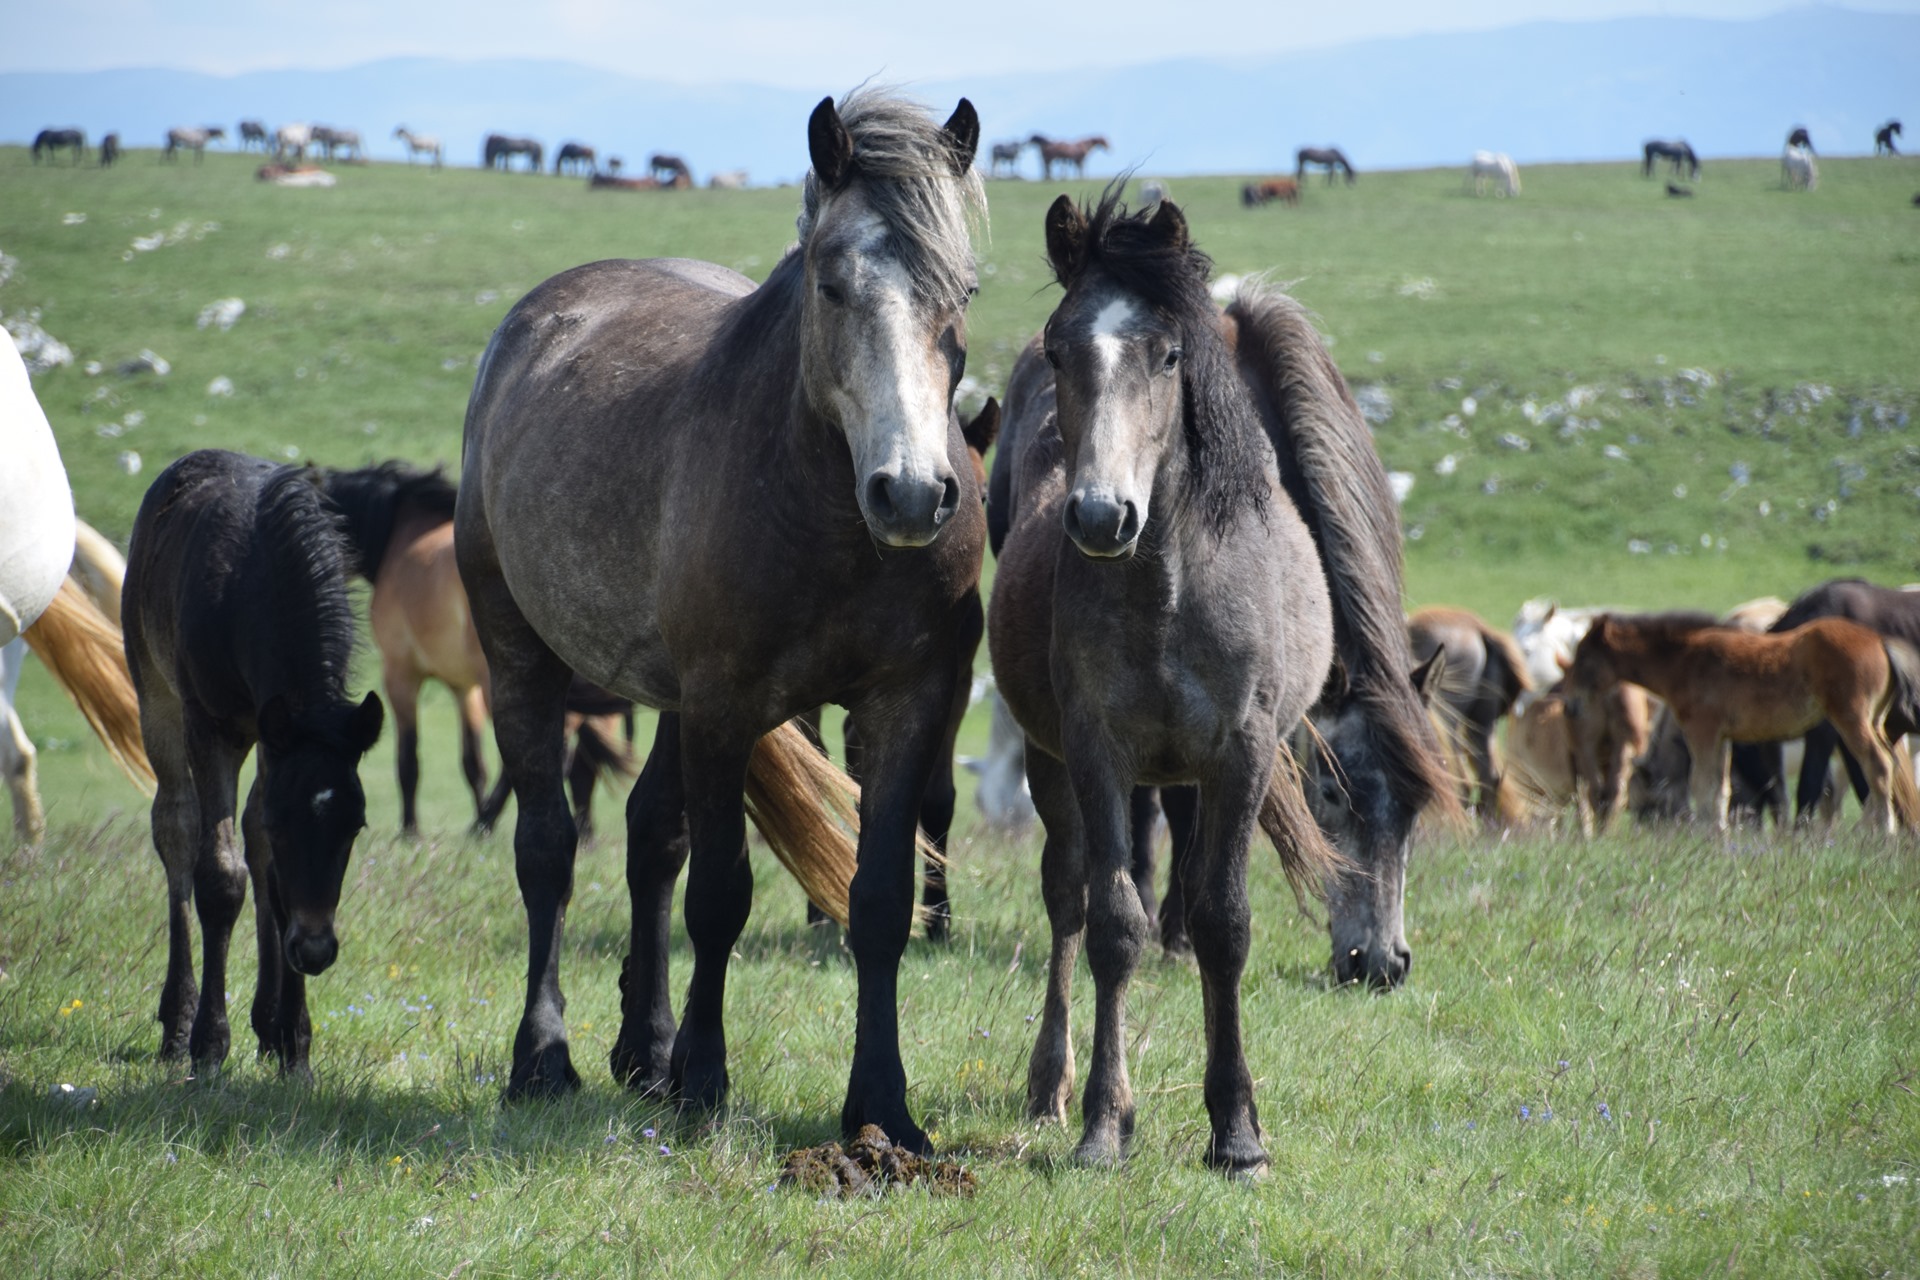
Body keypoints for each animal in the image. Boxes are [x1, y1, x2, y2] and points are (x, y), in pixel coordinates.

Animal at [123, 451, 386, 1073]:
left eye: (355, 827)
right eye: (288, 824)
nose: (314, 949)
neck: (256, 585)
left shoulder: (276, 737)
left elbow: (267, 864)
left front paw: (294, 1043)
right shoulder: (210, 727)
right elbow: (221, 875)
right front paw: (208, 1044)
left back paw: (267, 1027)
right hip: (154, 690)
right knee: (175, 827)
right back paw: (177, 1023)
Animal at [457, 89, 985, 1148]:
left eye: (964, 291)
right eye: (832, 285)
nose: (912, 494)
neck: (827, 518)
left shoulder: (907, 703)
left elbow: (877, 900)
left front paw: (882, 1107)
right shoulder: (725, 704)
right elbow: (720, 896)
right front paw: (705, 1082)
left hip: (669, 701)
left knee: (649, 837)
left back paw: (644, 1052)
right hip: (522, 658)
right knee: (548, 852)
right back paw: (545, 1059)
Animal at [991, 190, 1451, 1172]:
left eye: (1168, 354)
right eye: (1061, 348)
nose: (1380, 965)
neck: (1169, 584)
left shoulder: (1241, 753)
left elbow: (1224, 923)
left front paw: (1237, 1130)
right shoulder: (1095, 751)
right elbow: (1111, 923)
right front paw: (1104, 1122)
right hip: (1049, 760)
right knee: (1066, 893)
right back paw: (1049, 1085)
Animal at [1563, 612, 1920, 833]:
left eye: (1583, 658)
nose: (1569, 706)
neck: (1686, 662)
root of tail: (1880, 642)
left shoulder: (1702, 732)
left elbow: (1702, 786)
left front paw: (1706, 837)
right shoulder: (1723, 738)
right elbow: (1720, 791)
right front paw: (1719, 837)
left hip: (1851, 719)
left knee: (1877, 764)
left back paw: (1882, 832)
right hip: (1875, 722)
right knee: (1889, 765)